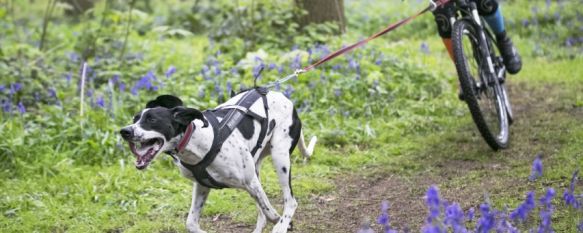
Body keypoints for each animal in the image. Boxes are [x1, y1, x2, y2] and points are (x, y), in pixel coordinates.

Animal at [118, 89, 318, 233]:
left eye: (151, 119)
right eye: (135, 119)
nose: (124, 131)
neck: (199, 140)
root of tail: (286, 99)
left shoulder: (250, 182)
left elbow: (270, 211)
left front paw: (280, 222)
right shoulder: (202, 185)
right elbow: (191, 223)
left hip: (280, 157)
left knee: (290, 201)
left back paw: (282, 225)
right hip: (257, 167)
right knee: (262, 208)